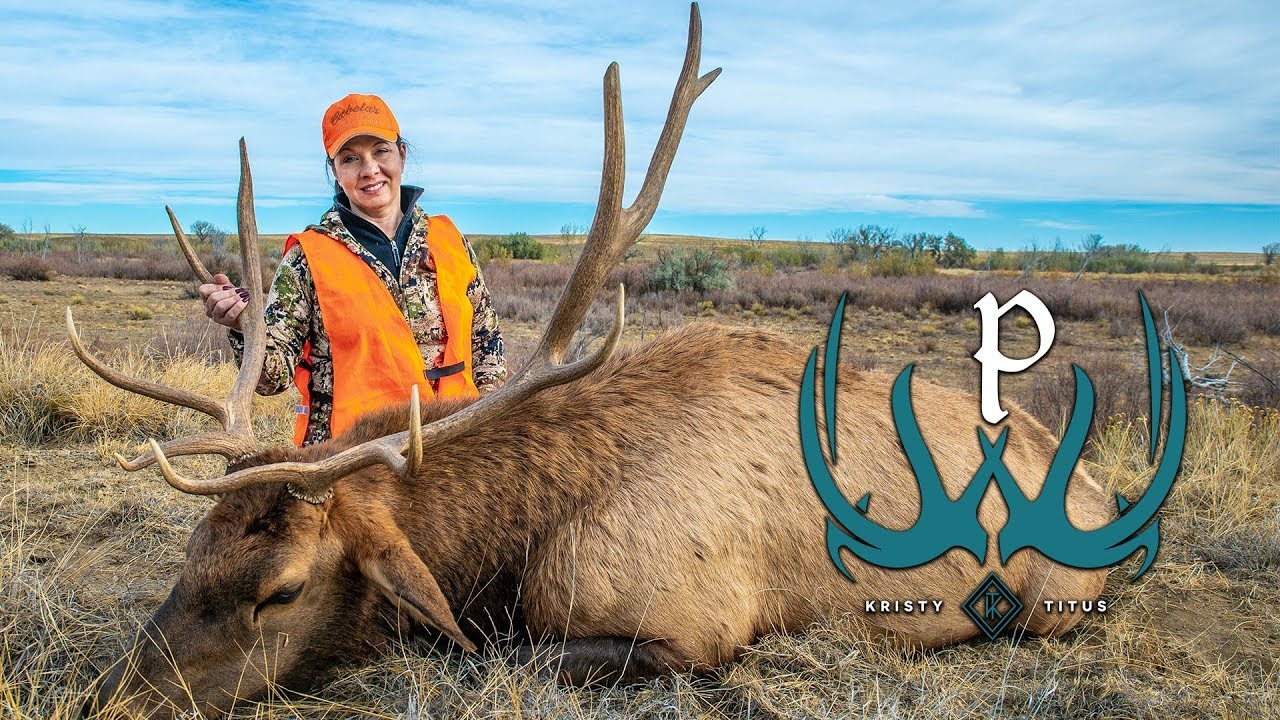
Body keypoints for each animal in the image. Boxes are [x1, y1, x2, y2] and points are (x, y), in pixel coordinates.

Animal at [77, 5, 1118, 717]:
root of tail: (1105, 487)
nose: (111, 697)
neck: (513, 548)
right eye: (193, 553)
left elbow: (493, 652)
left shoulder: (691, 630)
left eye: (282, 588)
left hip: (1058, 598)